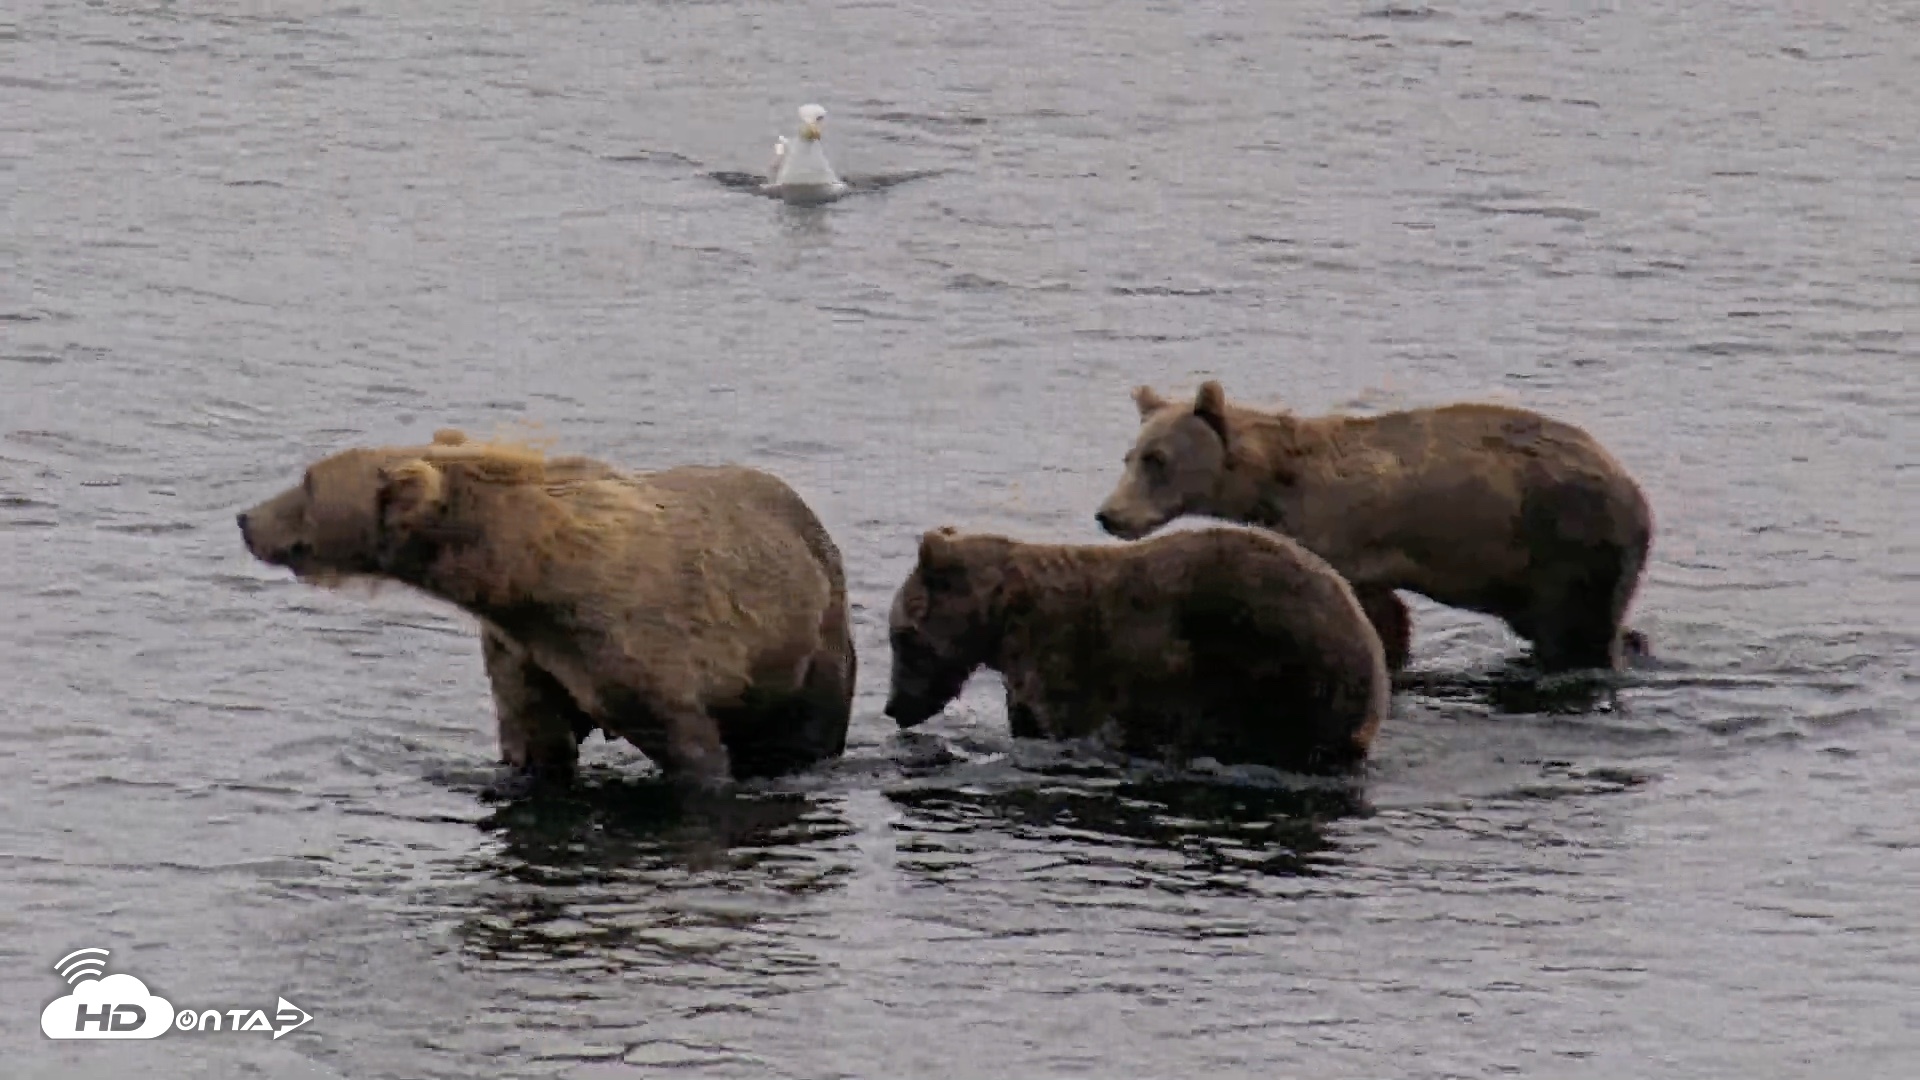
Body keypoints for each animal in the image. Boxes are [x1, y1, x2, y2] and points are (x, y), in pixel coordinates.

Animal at [235, 430, 855, 791]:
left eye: (308, 483)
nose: (245, 518)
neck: (530, 579)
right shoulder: (523, 651)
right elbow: (535, 740)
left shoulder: (638, 648)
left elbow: (692, 751)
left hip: (812, 642)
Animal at [882, 524, 1391, 775]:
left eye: (901, 638)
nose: (892, 706)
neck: (1006, 623)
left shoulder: (1069, 659)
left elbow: (1065, 720)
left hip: (1279, 665)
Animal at [1094, 381, 1654, 674]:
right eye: (1130, 456)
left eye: (1158, 460)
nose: (1109, 514)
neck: (1271, 482)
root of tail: (1635, 492)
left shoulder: (1340, 534)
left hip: (1568, 541)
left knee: (1576, 627)